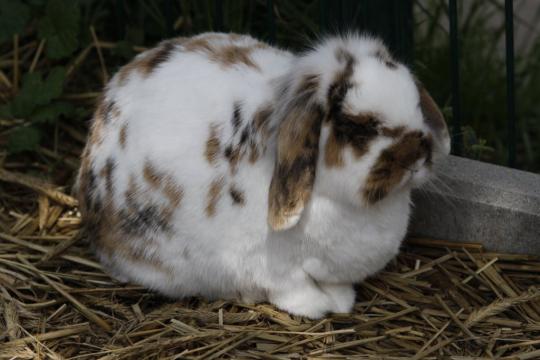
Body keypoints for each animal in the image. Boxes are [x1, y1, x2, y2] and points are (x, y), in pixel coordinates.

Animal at [74, 31, 450, 318]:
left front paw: (342, 301)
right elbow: (292, 288)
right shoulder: (268, 266)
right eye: (357, 127)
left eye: (417, 105)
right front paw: (315, 307)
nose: (417, 158)